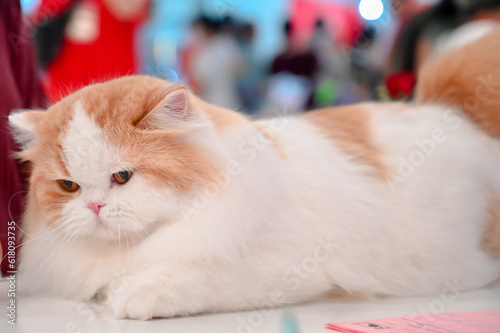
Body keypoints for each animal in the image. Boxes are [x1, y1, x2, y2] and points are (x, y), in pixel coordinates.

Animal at [7, 24, 500, 318]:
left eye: (122, 177)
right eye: (69, 186)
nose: (93, 206)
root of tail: (451, 109)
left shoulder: (284, 267)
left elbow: (196, 276)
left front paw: (134, 295)